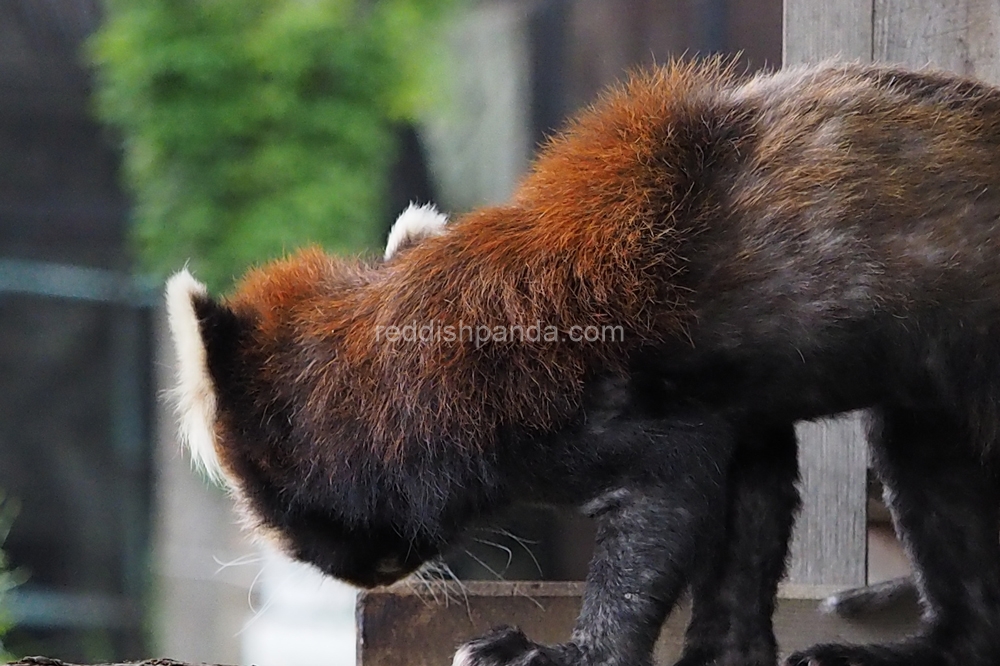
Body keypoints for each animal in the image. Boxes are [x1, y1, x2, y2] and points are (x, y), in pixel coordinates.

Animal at [168, 59, 1000, 660]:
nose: (351, 573)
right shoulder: (736, 408)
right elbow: (744, 531)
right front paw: (721, 652)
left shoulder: (619, 412)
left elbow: (660, 512)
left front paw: (570, 653)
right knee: (934, 479)